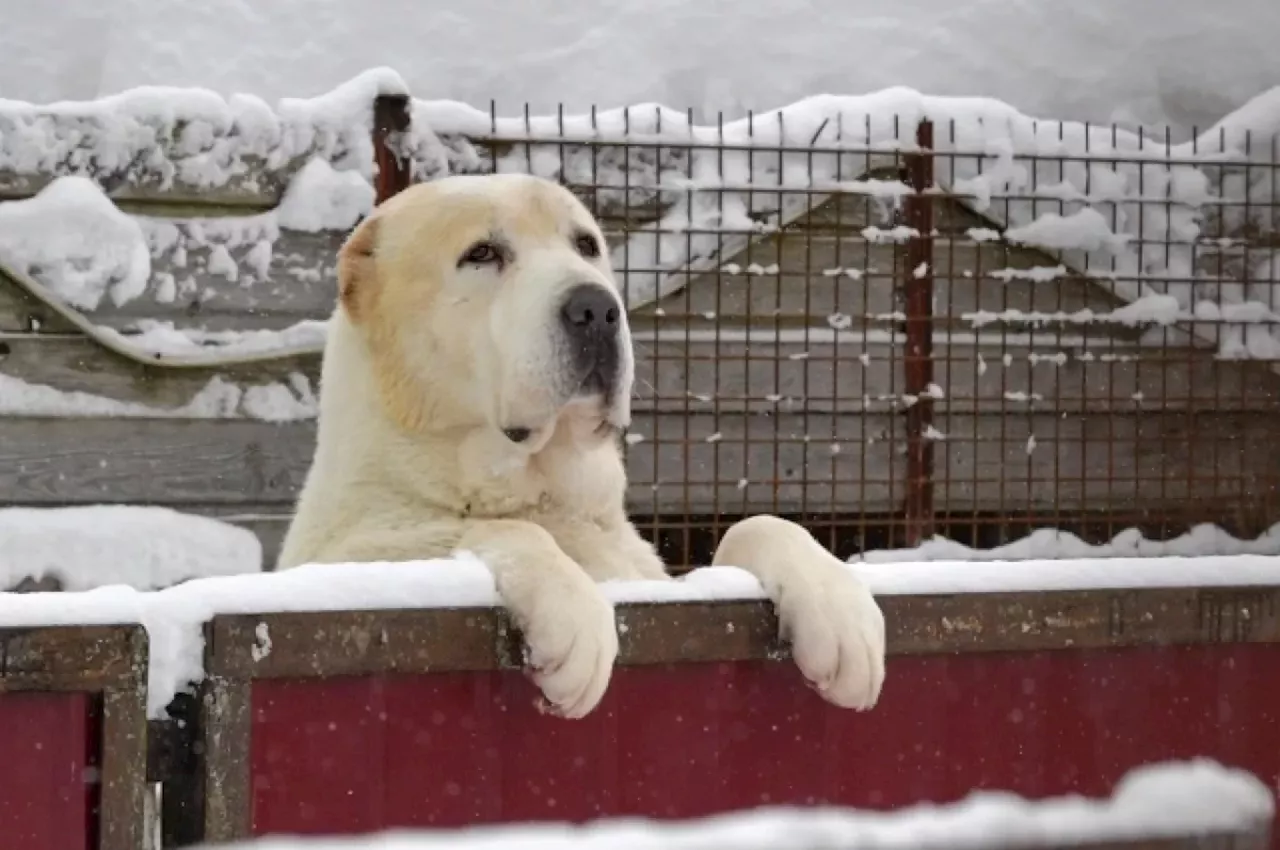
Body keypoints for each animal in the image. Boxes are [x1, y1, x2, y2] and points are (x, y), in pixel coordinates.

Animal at [276, 172, 885, 716]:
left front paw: (838, 605)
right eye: (481, 253)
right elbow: (501, 529)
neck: (545, 489)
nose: (595, 308)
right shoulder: (343, 559)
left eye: (586, 245)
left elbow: (759, 525)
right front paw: (573, 615)